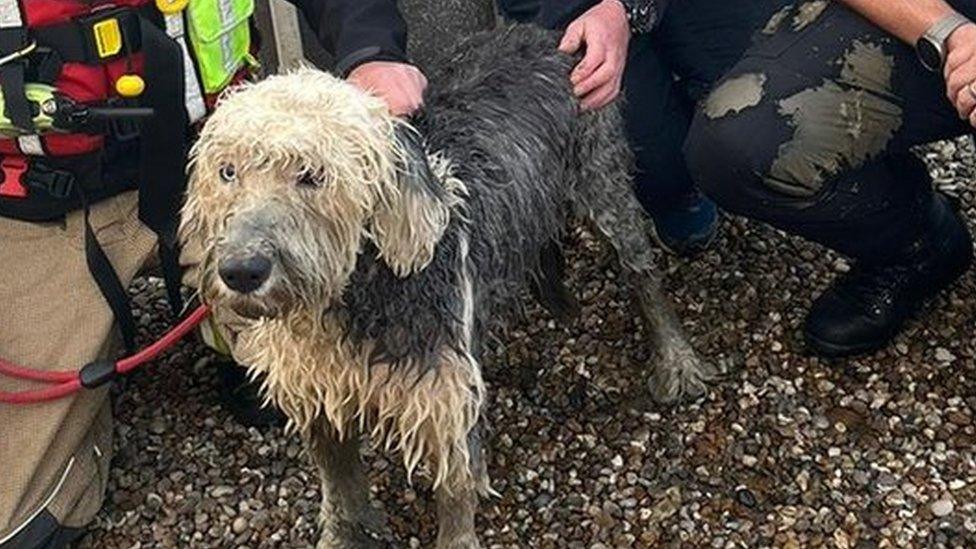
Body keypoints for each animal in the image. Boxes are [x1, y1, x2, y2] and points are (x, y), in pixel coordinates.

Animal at [181, 24, 708, 548]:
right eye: (227, 171)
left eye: (313, 175)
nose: (241, 270)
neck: (355, 297)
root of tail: (548, 35)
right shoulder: (319, 391)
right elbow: (339, 484)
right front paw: (345, 533)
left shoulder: (444, 401)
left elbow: (455, 494)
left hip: (603, 184)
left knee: (641, 272)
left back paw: (676, 360)